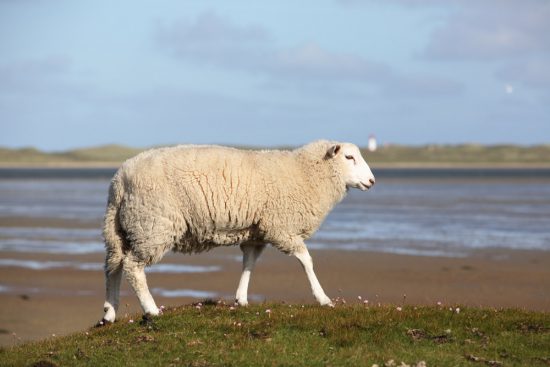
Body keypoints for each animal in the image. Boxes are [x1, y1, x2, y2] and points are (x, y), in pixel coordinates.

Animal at [100, 139, 376, 324]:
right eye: (349, 157)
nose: (372, 181)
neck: (306, 173)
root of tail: (120, 179)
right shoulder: (281, 228)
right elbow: (306, 260)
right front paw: (323, 298)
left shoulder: (257, 233)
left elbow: (249, 264)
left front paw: (241, 299)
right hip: (154, 224)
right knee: (133, 267)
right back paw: (151, 309)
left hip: (121, 227)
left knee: (113, 266)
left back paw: (110, 312)